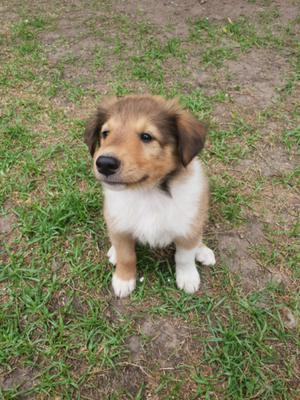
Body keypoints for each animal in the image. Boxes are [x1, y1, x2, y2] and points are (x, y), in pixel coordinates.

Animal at [84, 96, 216, 296]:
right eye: (105, 133)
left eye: (147, 136)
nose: (104, 164)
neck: (147, 192)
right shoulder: (120, 225)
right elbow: (126, 256)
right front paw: (123, 280)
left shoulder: (186, 227)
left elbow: (184, 257)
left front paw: (188, 278)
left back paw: (203, 251)